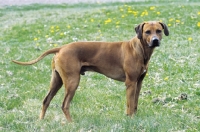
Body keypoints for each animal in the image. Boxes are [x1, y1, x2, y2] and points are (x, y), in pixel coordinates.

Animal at [12, 20, 169, 121]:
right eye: (147, 32)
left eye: (158, 31)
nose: (155, 40)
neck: (139, 49)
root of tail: (61, 48)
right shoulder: (130, 83)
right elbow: (130, 104)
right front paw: (130, 120)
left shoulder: (138, 82)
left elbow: (134, 103)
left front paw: (134, 117)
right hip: (72, 81)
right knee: (64, 105)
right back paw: (71, 123)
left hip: (57, 81)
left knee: (46, 100)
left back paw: (41, 121)